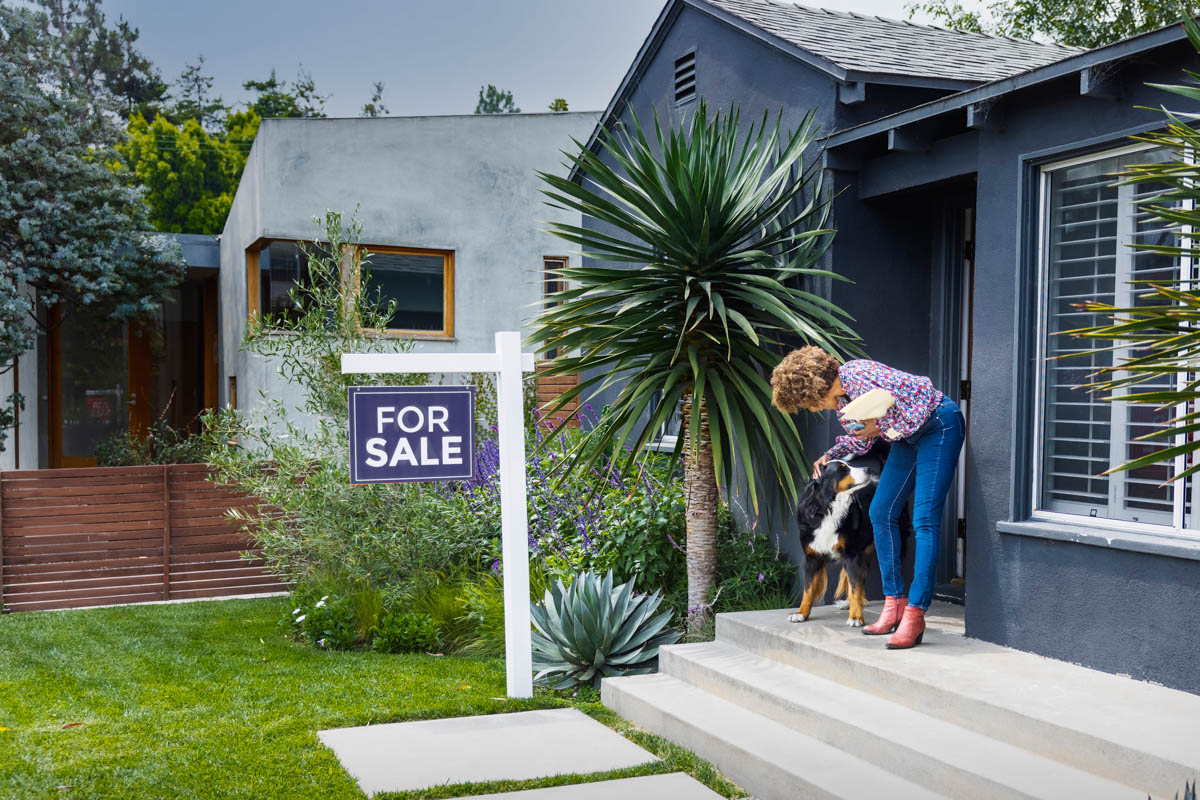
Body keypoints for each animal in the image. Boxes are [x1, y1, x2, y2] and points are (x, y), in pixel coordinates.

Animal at [792, 443, 912, 623]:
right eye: (843, 469)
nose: (868, 469)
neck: (828, 509)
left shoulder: (851, 553)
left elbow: (854, 586)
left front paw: (856, 617)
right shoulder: (812, 556)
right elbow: (808, 589)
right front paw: (801, 613)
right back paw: (847, 603)